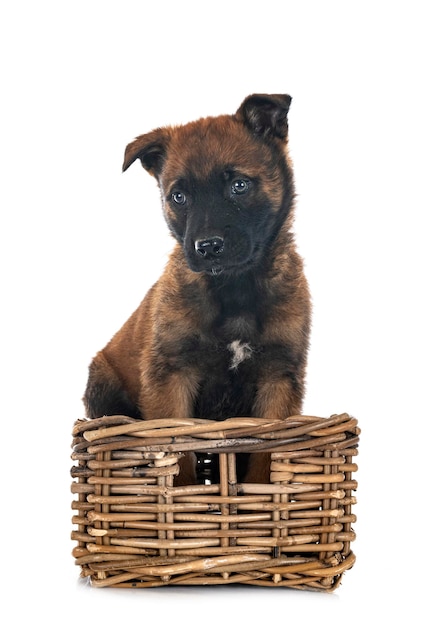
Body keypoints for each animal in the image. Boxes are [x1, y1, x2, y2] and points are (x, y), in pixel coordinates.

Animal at [83, 92, 310, 482]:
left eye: (239, 185)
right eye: (179, 197)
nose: (208, 247)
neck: (234, 289)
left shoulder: (278, 382)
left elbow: (264, 463)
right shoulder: (171, 380)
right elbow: (179, 461)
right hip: (101, 385)